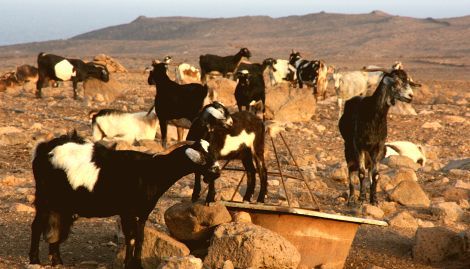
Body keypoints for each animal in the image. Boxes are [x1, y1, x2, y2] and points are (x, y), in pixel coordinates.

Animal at [29, 131, 220, 268]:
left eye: (212, 151)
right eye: (203, 156)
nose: (217, 171)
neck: (151, 171)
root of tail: (44, 148)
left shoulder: (143, 212)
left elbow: (140, 237)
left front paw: (137, 264)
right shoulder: (127, 211)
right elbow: (131, 237)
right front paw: (129, 264)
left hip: (61, 204)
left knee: (57, 226)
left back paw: (57, 261)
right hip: (45, 198)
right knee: (37, 225)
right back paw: (34, 260)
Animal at [338, 68, 422, 204]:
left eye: (408, 81)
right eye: (396, 82)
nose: (410, 96)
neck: (373, 115)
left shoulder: (378, 146)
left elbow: (375, 174)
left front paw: (374, 199)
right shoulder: (359, 145)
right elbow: (361, 172)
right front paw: (361, 198)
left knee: (369, 170)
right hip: (349, 148)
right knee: (351, 169)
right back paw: (351, 199)